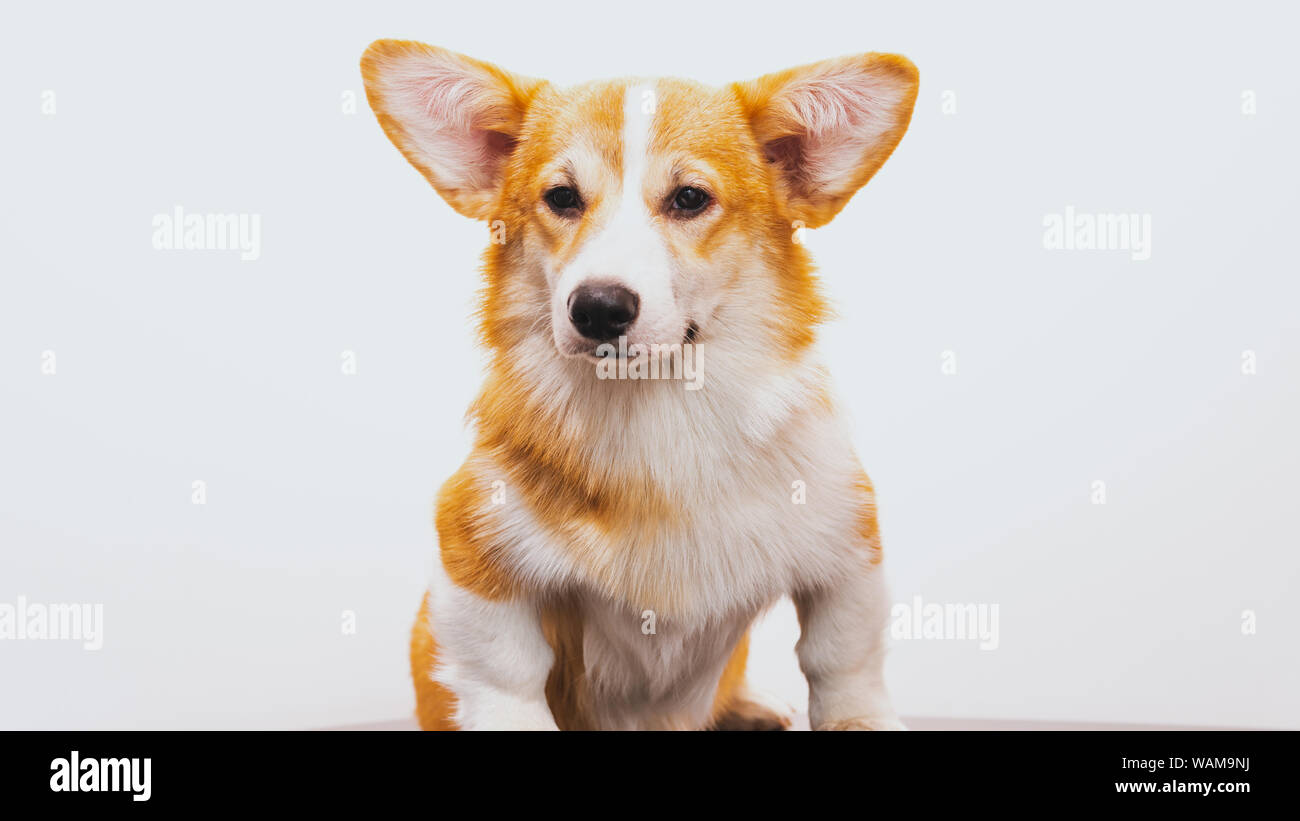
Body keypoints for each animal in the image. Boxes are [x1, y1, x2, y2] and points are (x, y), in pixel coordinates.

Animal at [361, 40, 920, 732]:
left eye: (689, 198)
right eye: (562, 197)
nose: (598, 308)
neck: (657, 409)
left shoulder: (847, 545)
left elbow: (843, 659)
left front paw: (858, 717)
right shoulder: (473, 553)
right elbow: (507, 677)